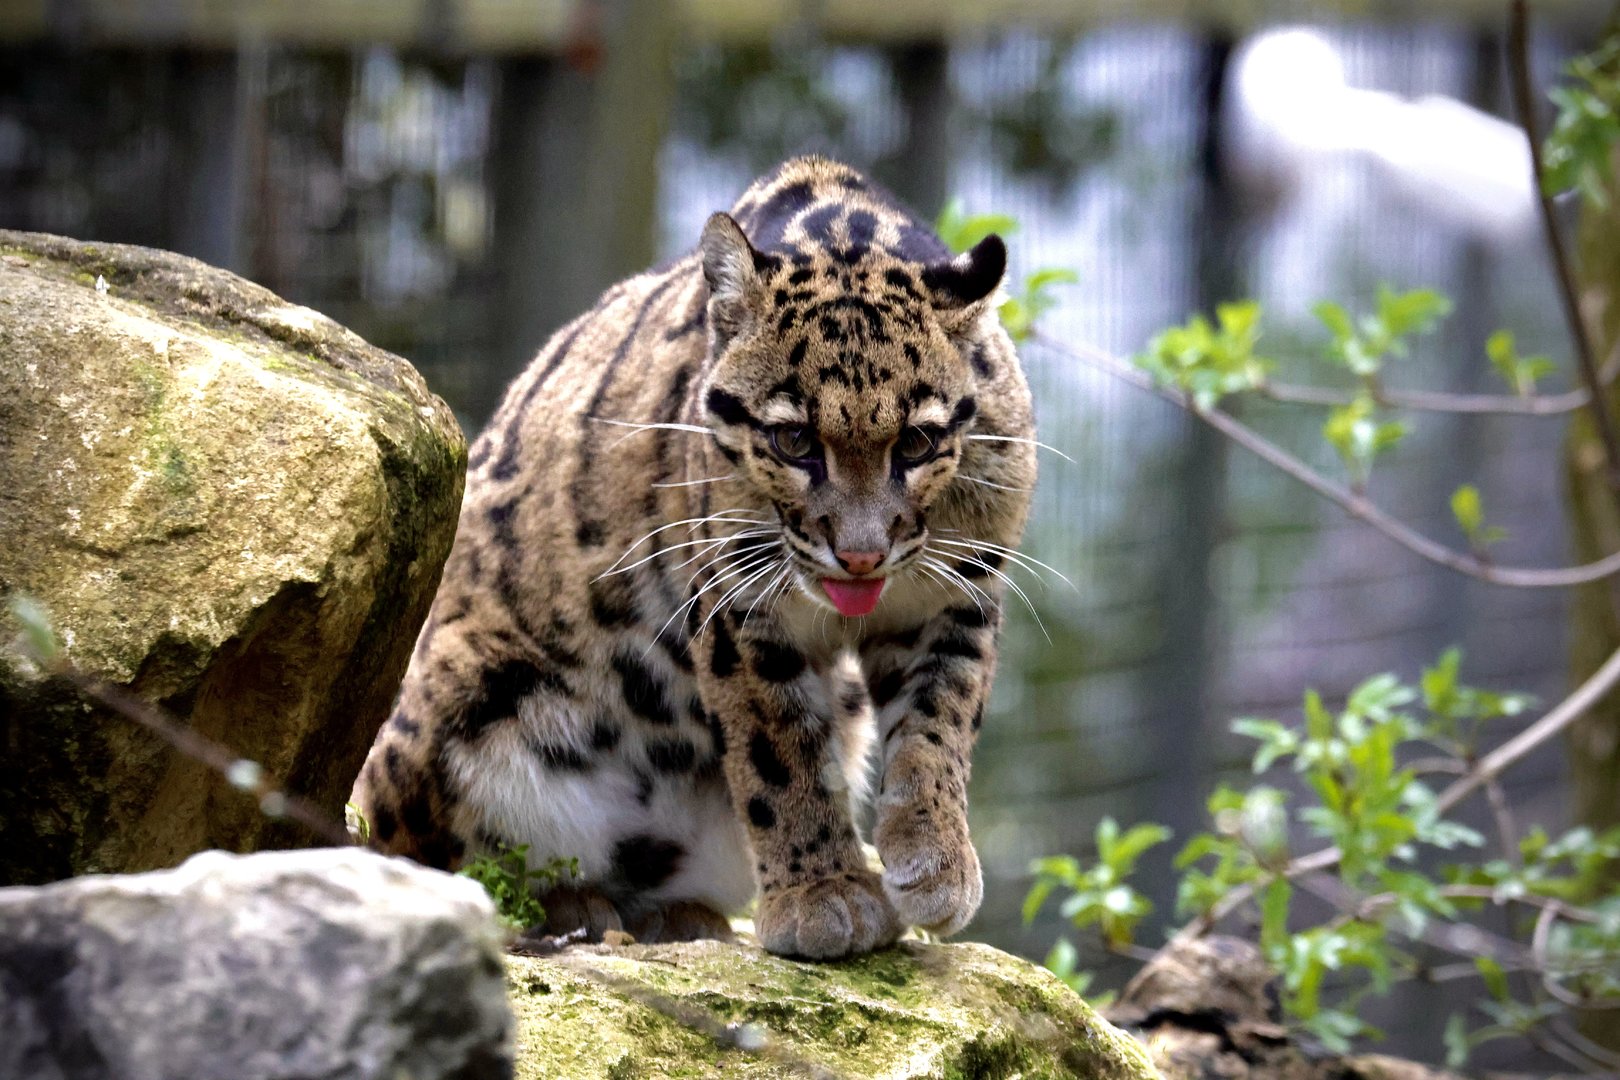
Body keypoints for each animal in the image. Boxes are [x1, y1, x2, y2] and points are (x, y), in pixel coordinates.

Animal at [350, 155, 1037, 959]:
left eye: (919, 444)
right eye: (793, 441)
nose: (861, 557)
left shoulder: (957, 590)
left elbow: (939, 723)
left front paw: (932, 855)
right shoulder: (740, 601)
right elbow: (778, 748)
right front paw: (822, 892)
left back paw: (671, 915)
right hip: (462, 695)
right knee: (418, 856)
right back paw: (568, 908)